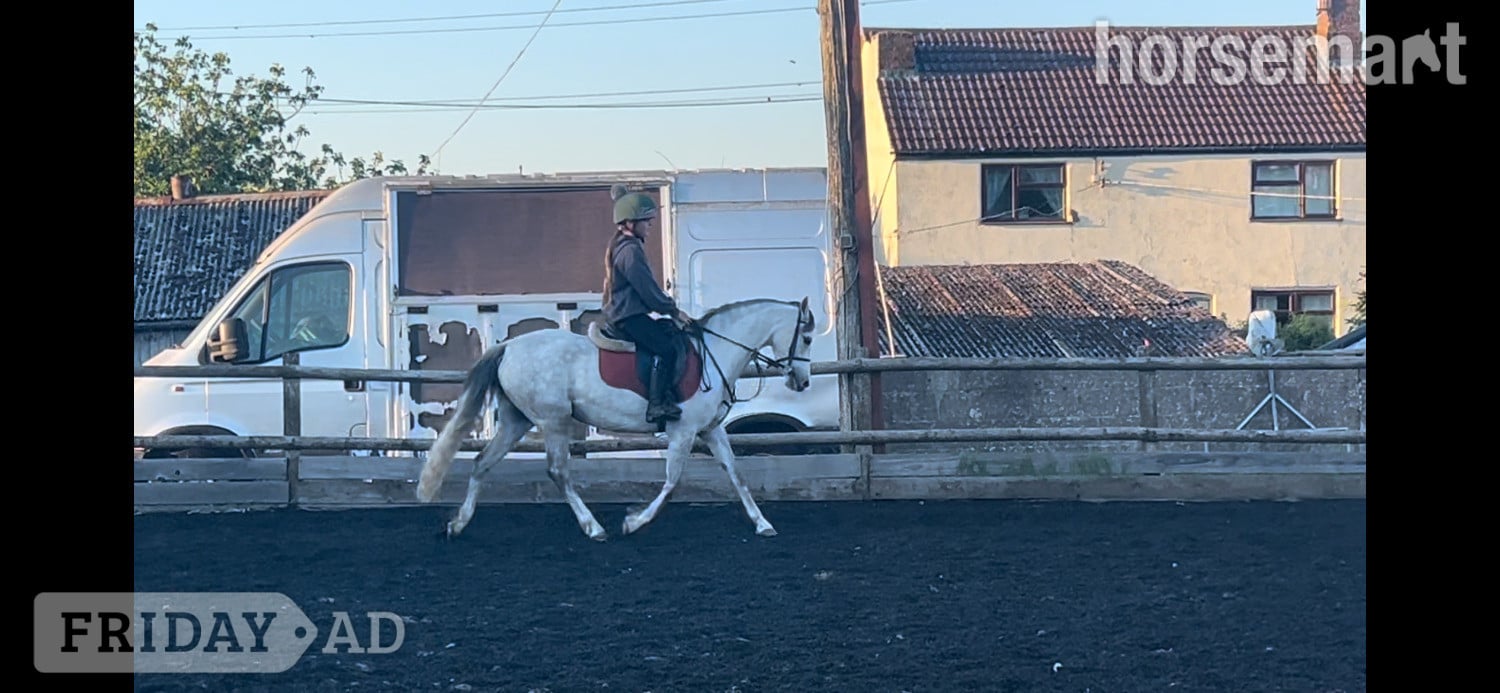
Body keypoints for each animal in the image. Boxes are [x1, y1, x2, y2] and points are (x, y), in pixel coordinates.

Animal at [415, 296, 817, 542]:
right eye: (808, 337)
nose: (802, 381)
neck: (715, 352)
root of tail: (509, 346)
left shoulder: (711, 430)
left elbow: (737, 474)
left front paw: (763, 524)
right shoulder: (684, 431)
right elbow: (672, 481)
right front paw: (634, 522)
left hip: (517, 421)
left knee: (483, 462)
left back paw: (458, 524)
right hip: (554, 421)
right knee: (558, 471)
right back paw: (593, 527)